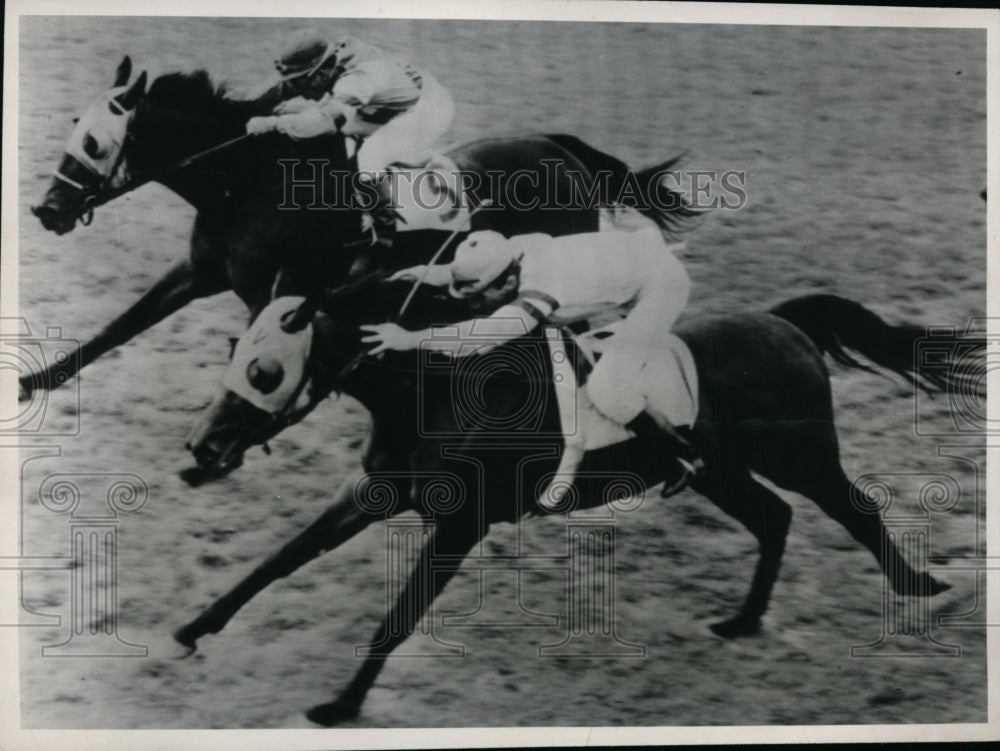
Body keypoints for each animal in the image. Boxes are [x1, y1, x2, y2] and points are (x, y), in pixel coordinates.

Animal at [25, 55, 696, 406]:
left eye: (93, 142)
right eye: (72, 126)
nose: (45, 210)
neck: (249, 185)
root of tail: (563, 149)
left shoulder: (278, 297)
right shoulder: (197, 271)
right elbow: (118, 329)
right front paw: (34, 382)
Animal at [176, 274, 972, 724]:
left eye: (264, 369)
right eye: (231, 354)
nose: (198, 450)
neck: (438, 387)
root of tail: (783, 323)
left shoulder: (458, 525)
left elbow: (397, 617)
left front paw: (341, 705)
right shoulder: (374, 490)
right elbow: (279, 559)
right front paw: (194, 627)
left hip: (802, 457)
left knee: (855, 511)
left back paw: (922, 587)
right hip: (717, 471)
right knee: (773, 517)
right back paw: (743, 620)